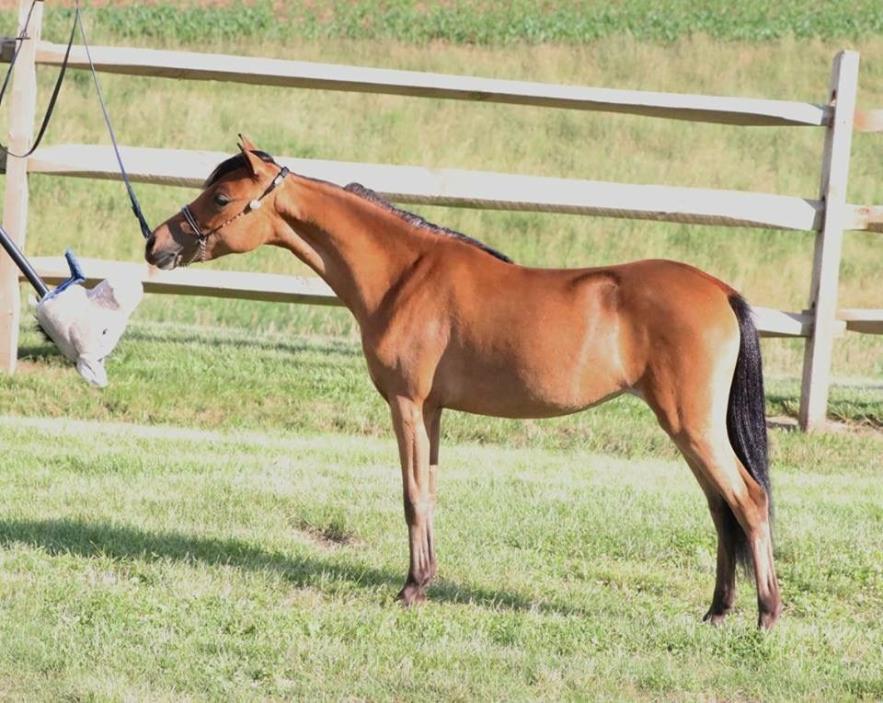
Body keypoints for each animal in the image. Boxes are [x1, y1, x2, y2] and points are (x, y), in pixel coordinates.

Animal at [147, 138, 788, 632]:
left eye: (221, 197)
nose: (157, 243)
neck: (404, 275)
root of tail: (720, 291)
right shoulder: (432, 410)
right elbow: (428, 493)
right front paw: (424, 580)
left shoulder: (406, 404)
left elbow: (410, 495)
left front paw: (408, 590)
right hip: (690, 430)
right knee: (721, 509)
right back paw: (716, 612)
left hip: (693, 425)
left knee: (749, 501)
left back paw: (766, 616)